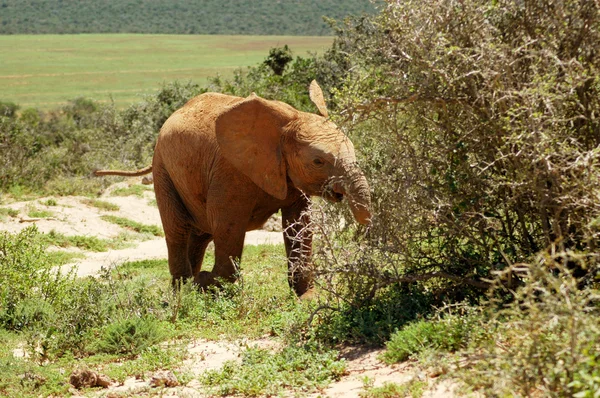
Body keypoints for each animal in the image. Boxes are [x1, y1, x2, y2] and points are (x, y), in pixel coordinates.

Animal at [96, 81, 370, 296]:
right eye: (318, 161)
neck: (287, 120)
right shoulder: (230, 171)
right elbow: (228, 227)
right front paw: (209, 285)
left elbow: (299, 224)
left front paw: (306, 298)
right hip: (163, 168)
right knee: (178, 229)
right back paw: (183, 293)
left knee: (200, 235)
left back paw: (188, 287)